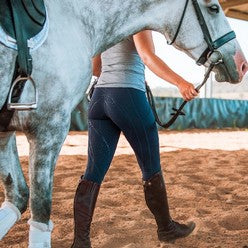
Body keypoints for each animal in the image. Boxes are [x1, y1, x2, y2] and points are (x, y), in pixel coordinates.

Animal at [0, 0, 247, 247]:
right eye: (214, 8)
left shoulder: (6, 133)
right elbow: (40, 216)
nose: (242, 64)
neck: (77, 19)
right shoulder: (48, 127)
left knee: (89, 182)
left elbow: (19, 195)